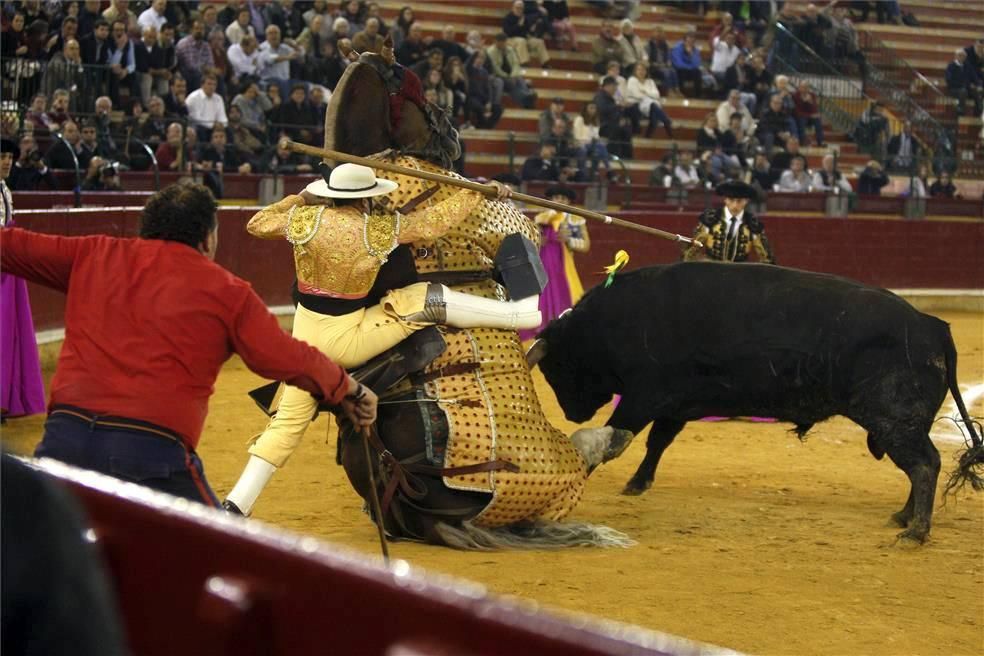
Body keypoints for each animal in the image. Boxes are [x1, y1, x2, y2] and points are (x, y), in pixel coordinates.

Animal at [322, 51, 632, 552]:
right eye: (424, 95)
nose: (453, 133)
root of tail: (423, 514)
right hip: (540, 468)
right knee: (577, 461)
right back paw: (608, 433)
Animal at [536, 262, 980, 544]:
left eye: (556, 368)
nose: (572, 412)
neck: (611, 322)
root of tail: (931, 326)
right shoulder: (675, 403)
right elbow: (657, 441)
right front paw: (637, 483)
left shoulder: (645, 395)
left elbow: (613, 437)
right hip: (900, 423)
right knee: (920, 465)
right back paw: (903, 517)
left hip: (894, 418)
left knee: (923, 464)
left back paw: (915, 531)